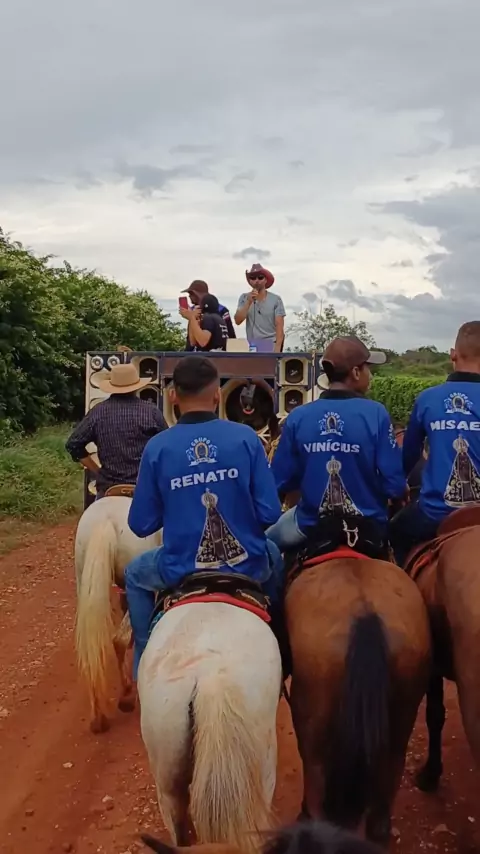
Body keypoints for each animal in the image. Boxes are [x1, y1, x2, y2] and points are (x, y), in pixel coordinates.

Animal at [75, 492, 162, 733]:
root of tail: (104, 521)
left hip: (84, 580)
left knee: (92, 649)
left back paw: (98, 717)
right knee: (121, 638)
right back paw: (127, 696)